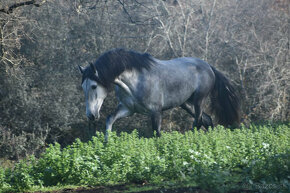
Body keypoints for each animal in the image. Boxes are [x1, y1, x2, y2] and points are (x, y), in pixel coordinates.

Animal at [77, 48, 240, 142]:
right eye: (83, 87)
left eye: (94, 86)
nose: (91, 115)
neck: (136, 80)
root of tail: (209, 67)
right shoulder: (128, 109)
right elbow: (110, 119)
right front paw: (107, 144)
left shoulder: (155, 111)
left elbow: (156, 133)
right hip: (186, 104)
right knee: (207, 120)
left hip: (199, 100)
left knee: (198, 122)